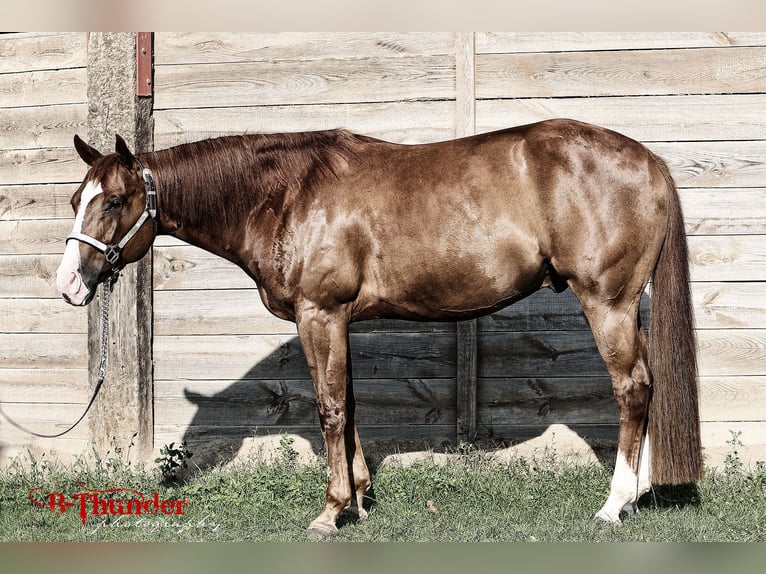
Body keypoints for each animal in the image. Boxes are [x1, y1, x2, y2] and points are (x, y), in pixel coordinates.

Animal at [55, 119, 702, 536]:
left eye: (114, 201)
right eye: (75, 199)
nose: (69, 283)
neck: (287, 195)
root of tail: (650, 162)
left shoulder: (320, 313)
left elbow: (329, 408)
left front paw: (330, 511)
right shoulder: (335, 319)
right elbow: (349, 403)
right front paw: (360, 502)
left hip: (608, 303)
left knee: (632, 389)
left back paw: (614, 504)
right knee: (647, 387)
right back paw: (637, 496)